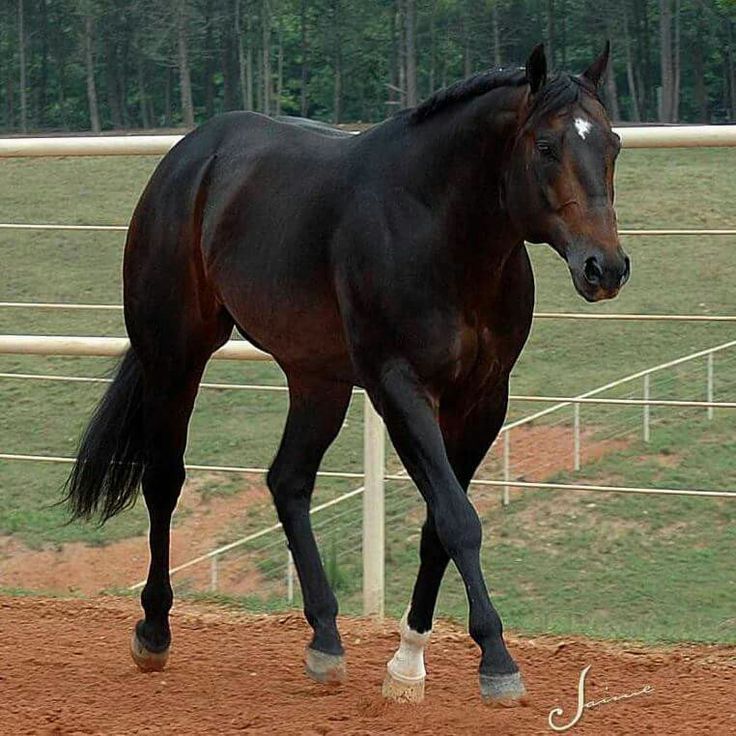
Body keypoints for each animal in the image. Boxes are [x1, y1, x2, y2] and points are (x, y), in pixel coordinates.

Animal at [63, 41, 628, 708]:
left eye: (613, 143)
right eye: (545, 146)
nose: (605, 268)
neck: (440, 230)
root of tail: (191, 157)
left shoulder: (484, 400)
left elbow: (439, 524)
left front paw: (407, 664)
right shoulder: (398, 387)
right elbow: (458, 519)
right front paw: (496, 659)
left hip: (317, 381)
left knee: (288, 481)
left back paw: (326, 640)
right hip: (175, 355)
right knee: (164, 480)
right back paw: (154, 630)